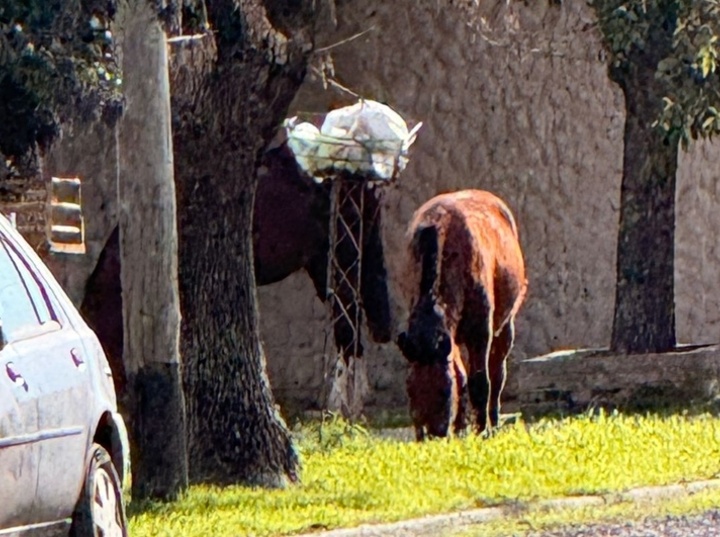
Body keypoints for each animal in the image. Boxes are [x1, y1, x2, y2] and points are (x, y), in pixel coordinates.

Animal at [397, 189, 527, 437]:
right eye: (409, 390)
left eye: (444, 391)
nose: (430, 434)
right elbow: (461, 376)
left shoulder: (481, 332)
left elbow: (480, 382)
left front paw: (481, 432)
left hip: (506, 327)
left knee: (497, 375)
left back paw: (493, 423)